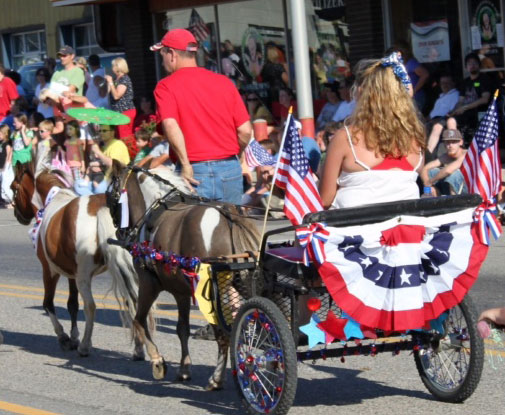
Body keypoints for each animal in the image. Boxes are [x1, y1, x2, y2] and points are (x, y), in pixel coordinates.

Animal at [10, 158, 144, 360]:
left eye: (13, 187)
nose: (18, 215)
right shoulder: (72, 273)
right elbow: (72, 304)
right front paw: (73, 336)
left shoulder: (50, 270)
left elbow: (48, 303)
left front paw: (64, 337)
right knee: (133, 302)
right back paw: (139, 348)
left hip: (84, 277)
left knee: (90, 306)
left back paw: (85, 346)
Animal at [107, 164, 260, 392]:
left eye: (110, 195)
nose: (120, 233)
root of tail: (230, 217)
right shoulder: (181, 291)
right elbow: (182, 329)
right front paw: (184, 368)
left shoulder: (148, 283)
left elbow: (139, 321)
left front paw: (157, 361)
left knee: (224, 333)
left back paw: (217, 378)